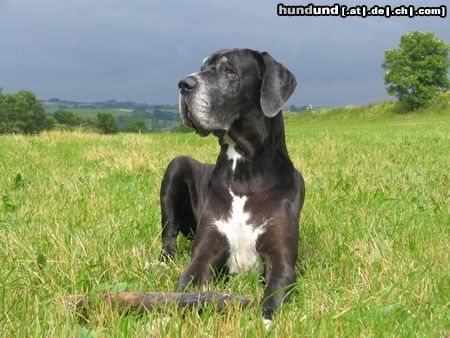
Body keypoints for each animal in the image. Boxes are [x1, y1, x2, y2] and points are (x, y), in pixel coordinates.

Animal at [160, 48, 304, 320]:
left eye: (229, 71)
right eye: (203, 67)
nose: (184, 84)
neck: (244, 175)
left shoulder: (282, 260)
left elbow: (272, 297)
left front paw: (265, 322)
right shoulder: (204, 254)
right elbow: (185, 289)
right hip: (176, 165)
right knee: (168, 235)